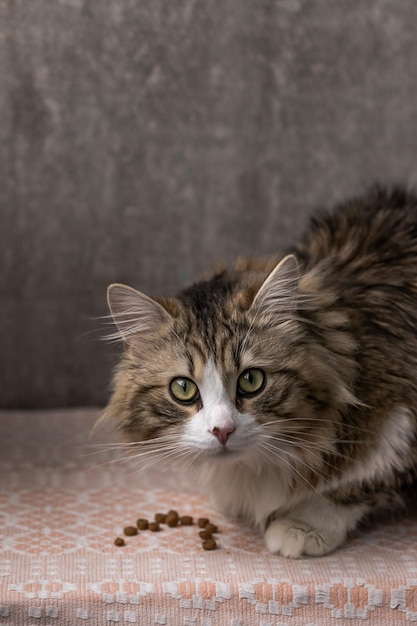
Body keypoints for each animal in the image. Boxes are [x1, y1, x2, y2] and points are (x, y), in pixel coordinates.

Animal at [102, 186, 416, 556]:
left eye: (251, 380)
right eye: (183, 389)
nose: (222, 431)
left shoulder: (399, 425)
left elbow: (354, 486)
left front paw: (303, 525)